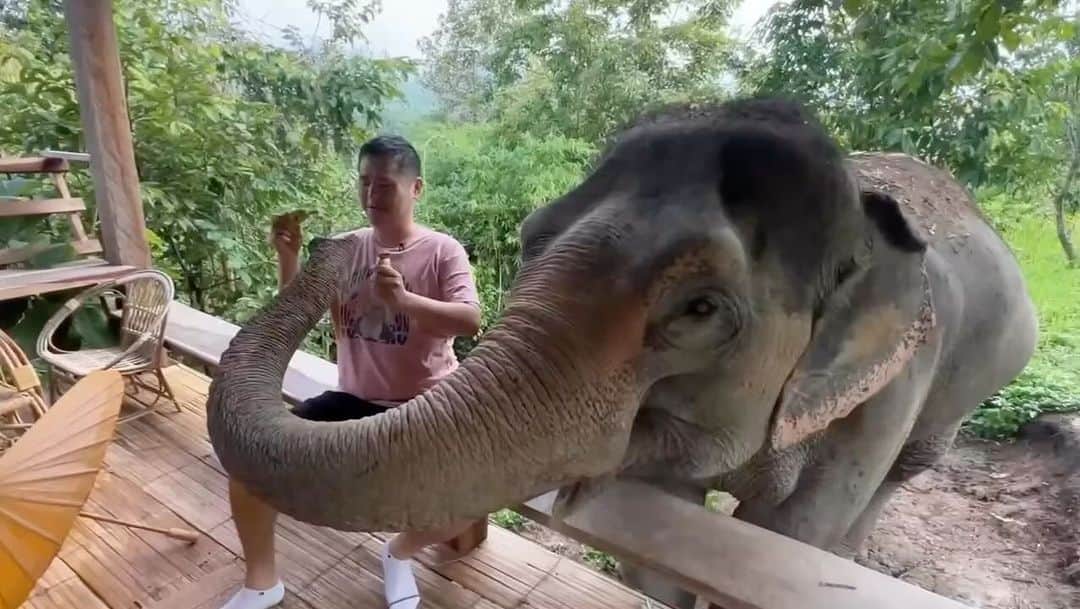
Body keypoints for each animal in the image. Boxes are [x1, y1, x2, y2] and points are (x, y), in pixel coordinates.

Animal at [205, 96, 1038, 608]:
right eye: (532, 235)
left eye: (701, 309)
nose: (326, 241)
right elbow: (659, 539)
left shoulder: (885, 392)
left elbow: (791, 534)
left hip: (970, 379)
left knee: (901, 474)